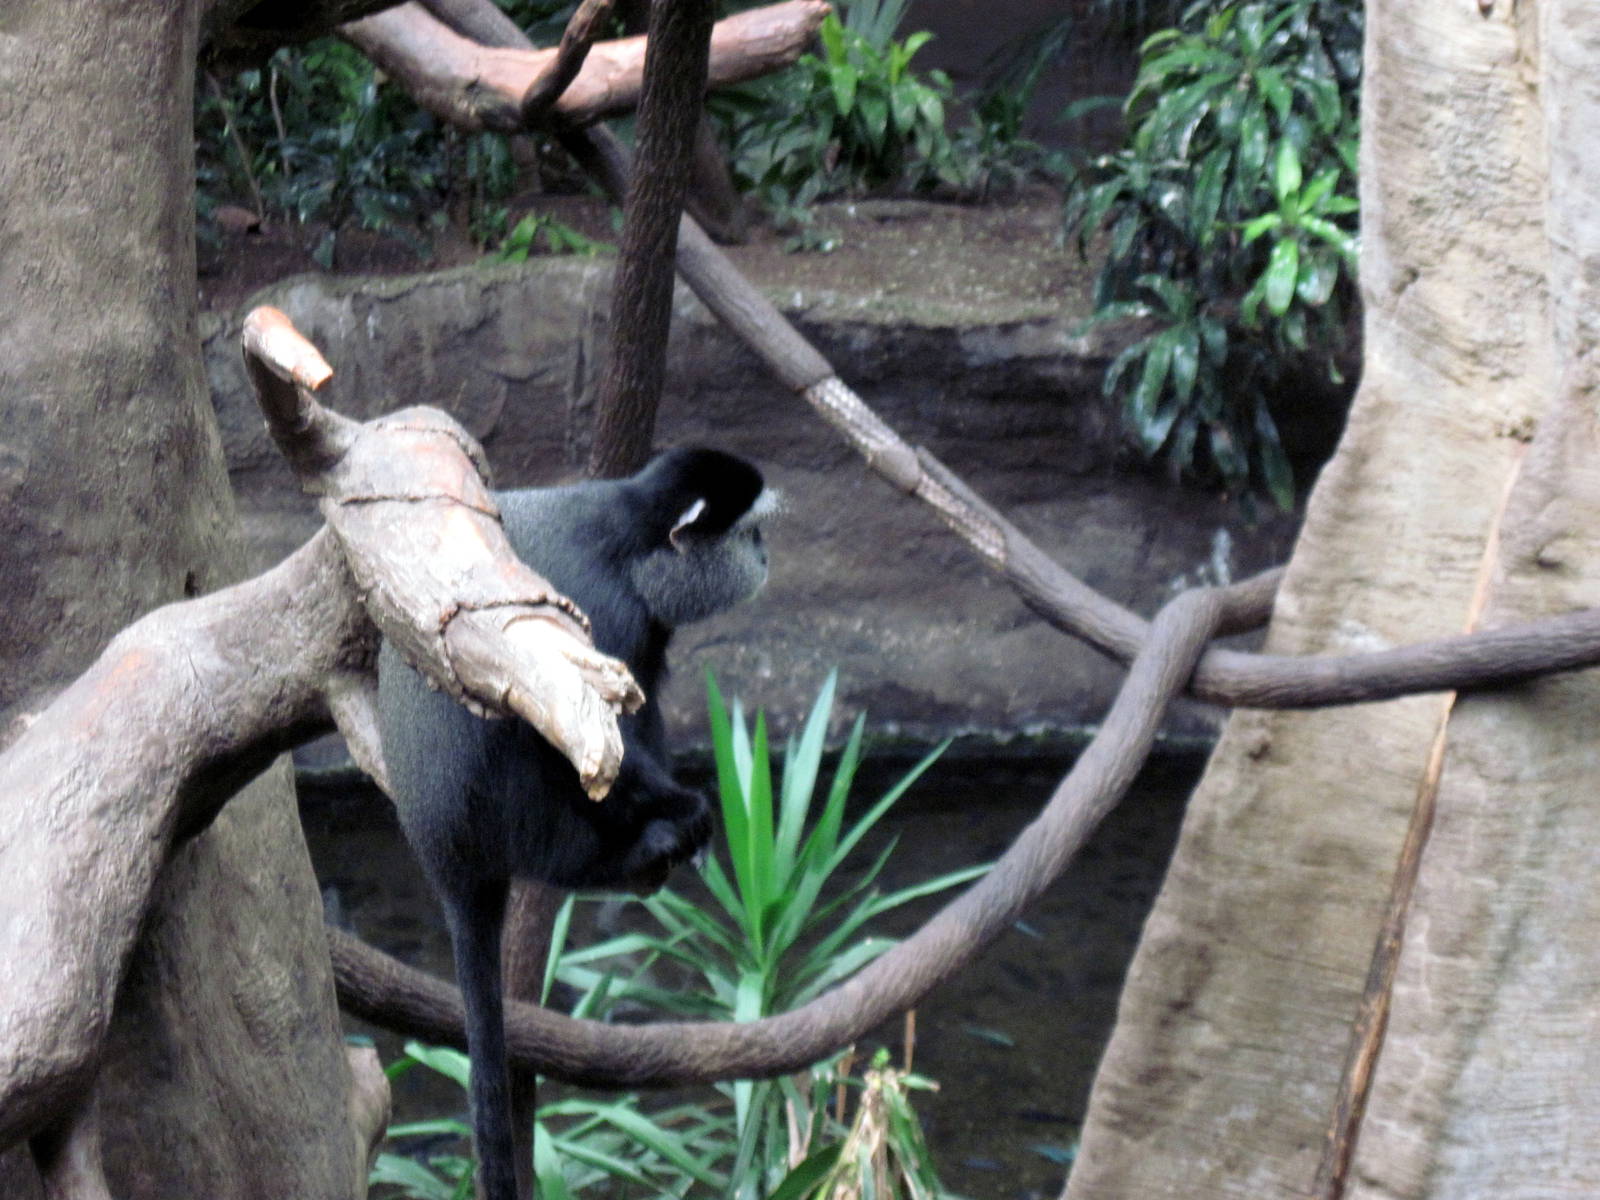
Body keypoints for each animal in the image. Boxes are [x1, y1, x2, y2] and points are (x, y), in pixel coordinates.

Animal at [376, 447, 773, 1200]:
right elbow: (594, 735)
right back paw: (638, 848)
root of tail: (444, 859)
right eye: (750, 533)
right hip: (517, 821)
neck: (625, 534)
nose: (766, 557)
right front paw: (686, 812)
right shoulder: (610, 608)